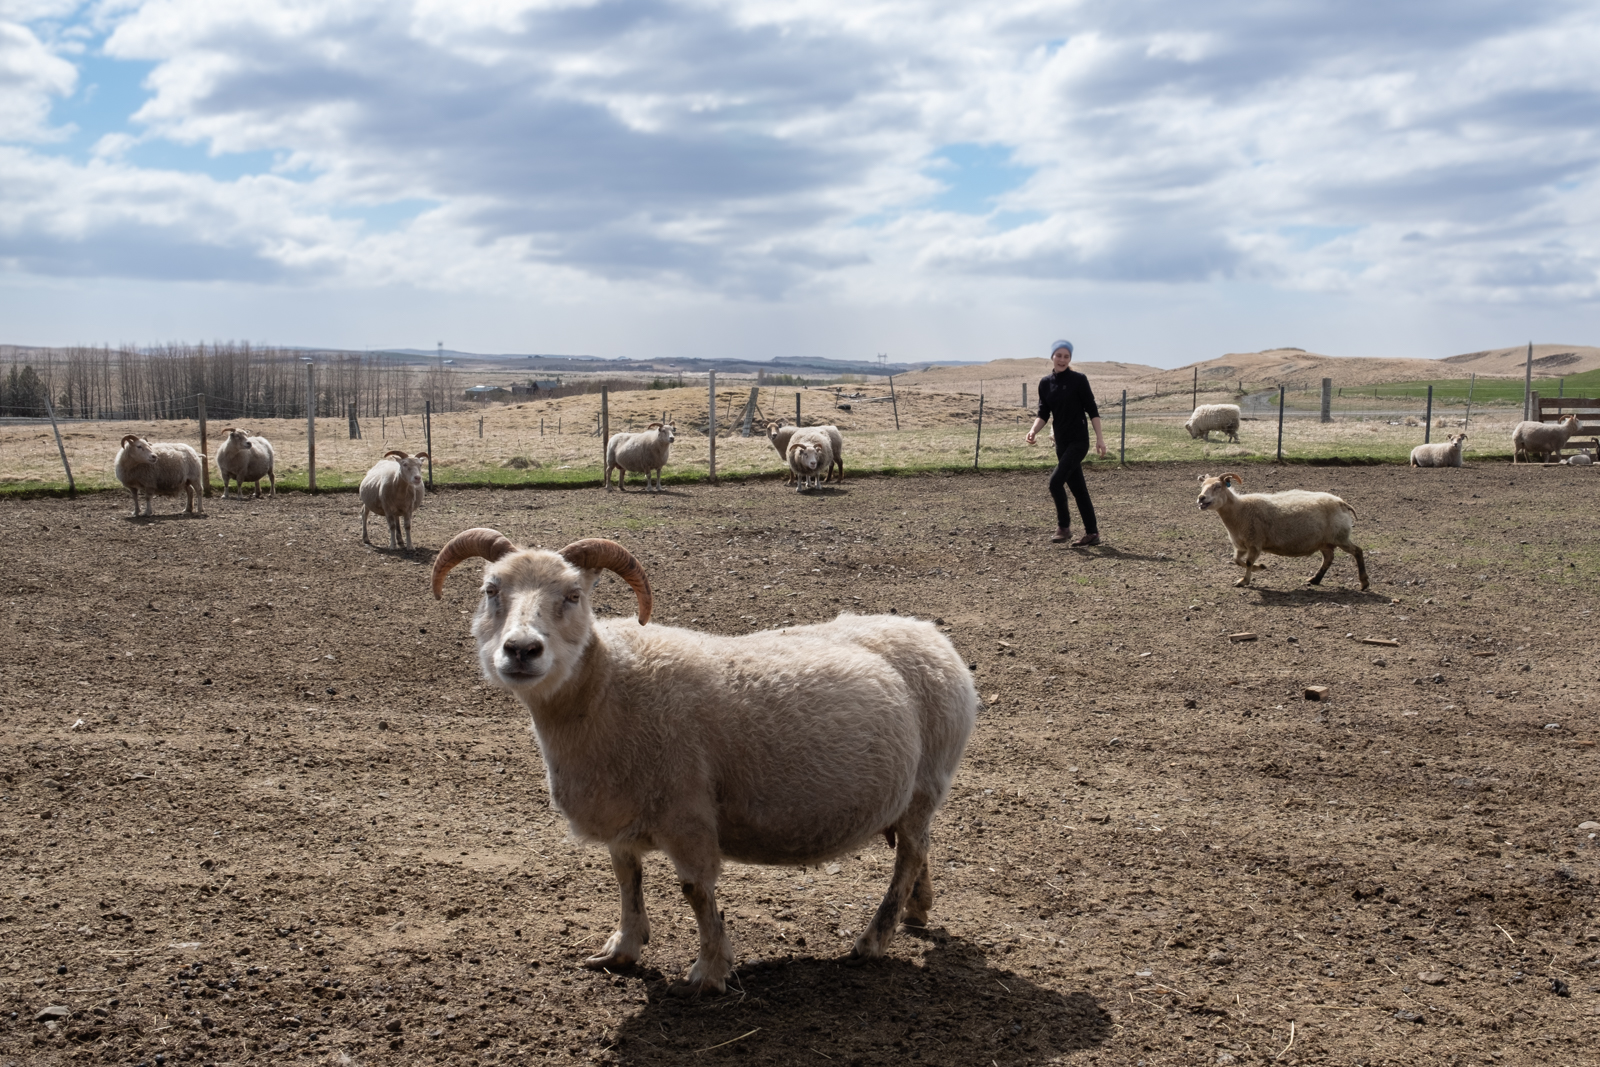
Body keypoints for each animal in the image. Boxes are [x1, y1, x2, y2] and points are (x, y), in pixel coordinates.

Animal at [430, 529, 978, 996]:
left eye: (573, 596)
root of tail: (933, 637)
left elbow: (696, 891)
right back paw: (917, 910)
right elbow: (626, 880)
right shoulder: (622, 816)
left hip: (928, 781)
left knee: (909, 854)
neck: (608, 687)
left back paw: (874, 939)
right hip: (912, 794)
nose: (521, 649)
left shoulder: (687, 813)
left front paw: (709, 972)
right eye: (491, 589)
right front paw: (621, 950)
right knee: (918, 849)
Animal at [1196, 472, 1369, 590]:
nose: (1201, 498)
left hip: (1340, 537)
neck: (1239, 510)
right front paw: (1260, 567)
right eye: (1202, 486)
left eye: (1217, 486)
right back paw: (1315, 579)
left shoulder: (1255, 543)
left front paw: (1244, 580)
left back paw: (1364, 582)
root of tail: (1342, 502)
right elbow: (1237, 561)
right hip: (1325, 541)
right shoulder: (1241, 546)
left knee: (1357, 551)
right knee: (1328, 558)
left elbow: (1248, 562)